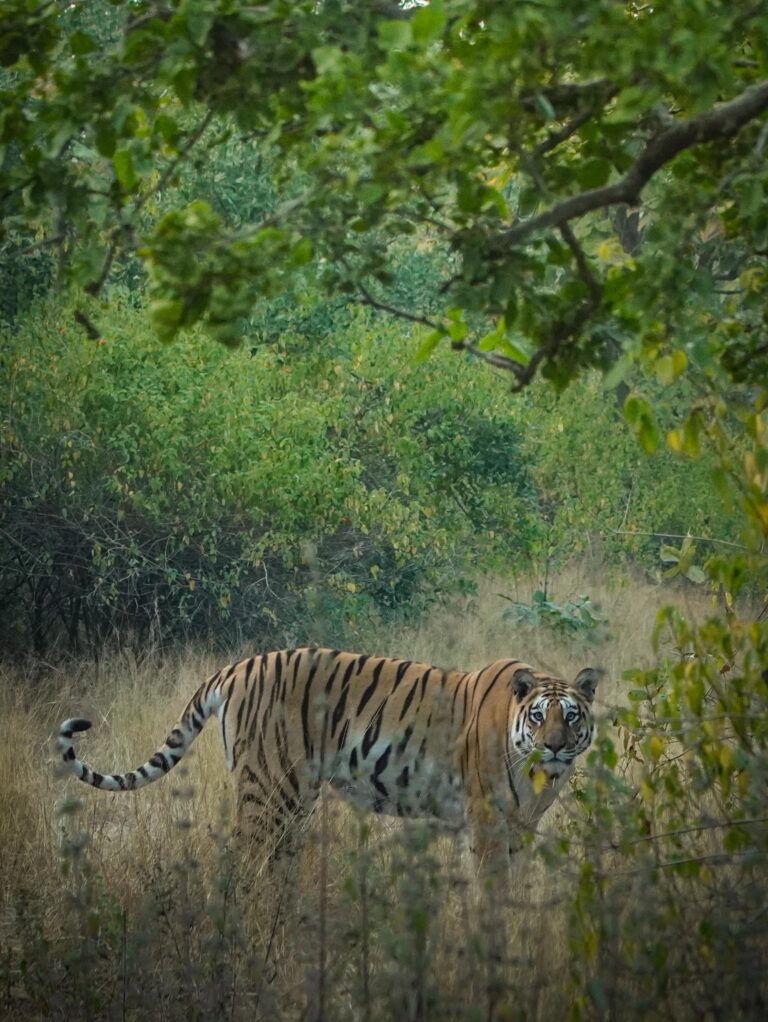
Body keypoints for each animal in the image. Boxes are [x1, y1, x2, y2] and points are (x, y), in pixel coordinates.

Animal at [58, 647, 600, 874]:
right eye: (538, 717)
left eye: (571, 717)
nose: (554, 746)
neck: (537, 774)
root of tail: (238, 666)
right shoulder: (487, 822)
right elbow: (491, 888)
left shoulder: (520, 827)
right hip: (267, 790)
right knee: (243, 861)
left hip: (294, 800)